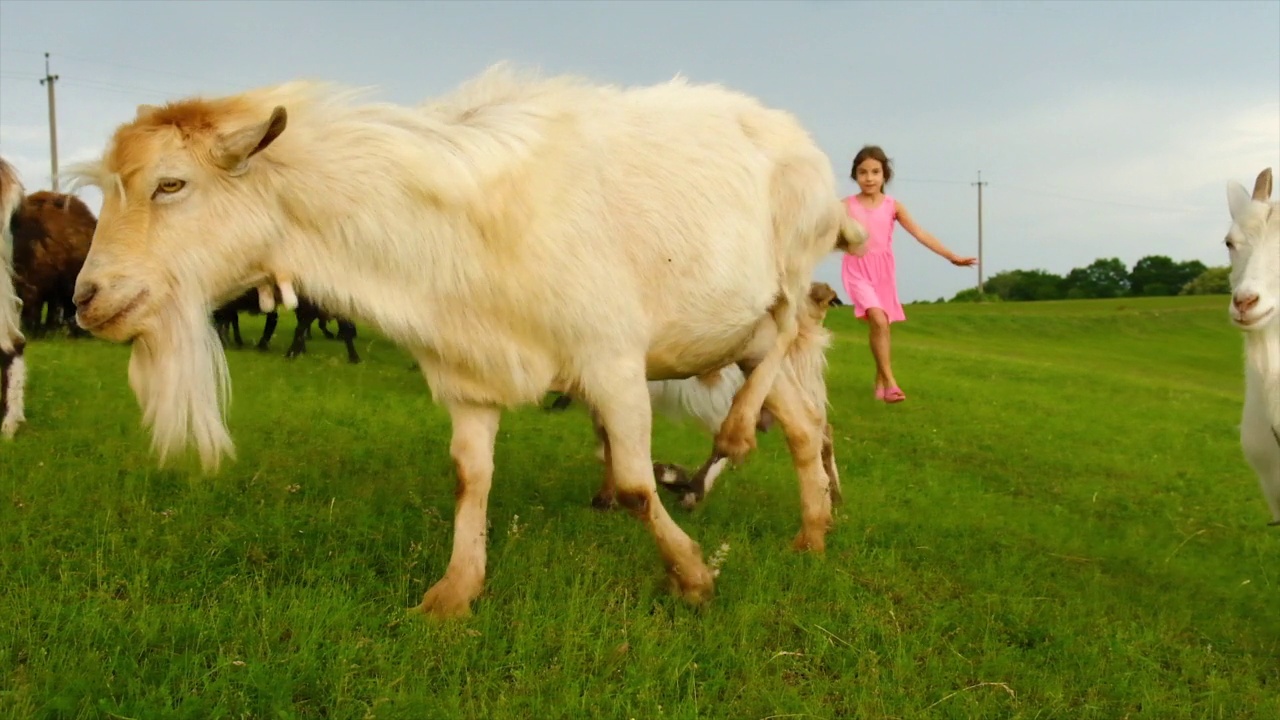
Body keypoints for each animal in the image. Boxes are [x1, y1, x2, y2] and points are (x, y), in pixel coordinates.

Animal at [70, 64, 865, 617]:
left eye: (171, 185)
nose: (85, 299)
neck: (454, 226)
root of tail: (791, 133)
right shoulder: (469, 373)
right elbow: (469, 478)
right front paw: (455, 591)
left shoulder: (611, 360)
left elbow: (639, 484)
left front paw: (692, 576)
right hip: (741, 337)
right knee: (800, 422)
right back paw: (813, 533)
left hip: (795, 262)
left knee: (789, 320)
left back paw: (736, 436)